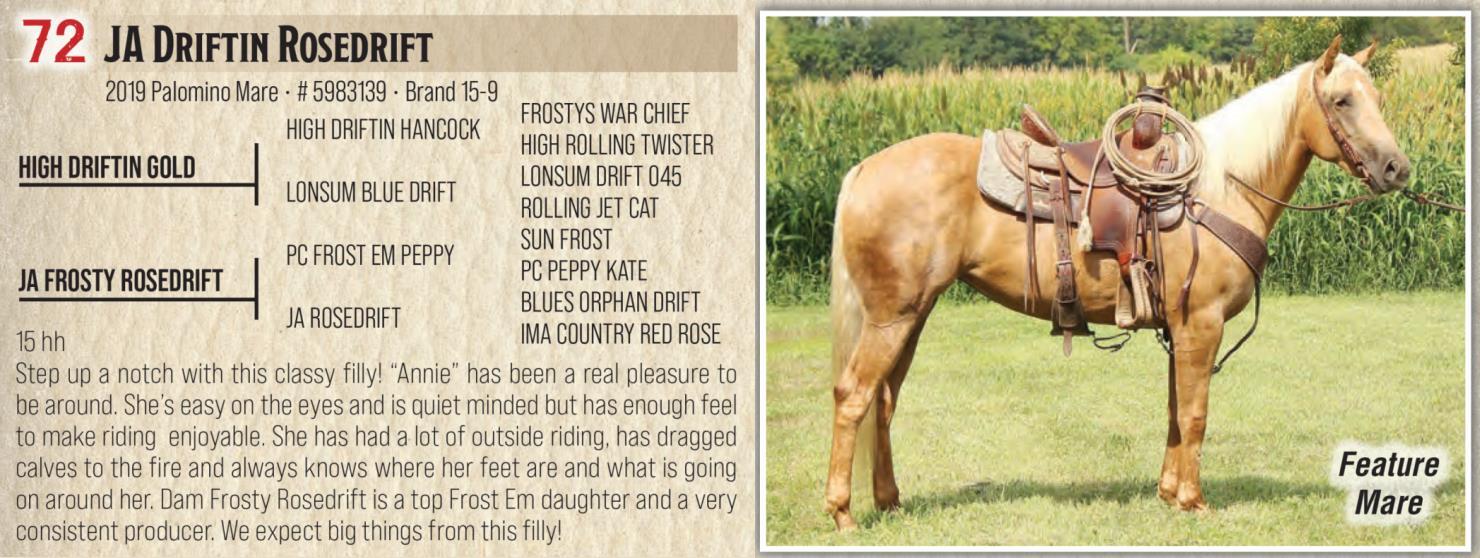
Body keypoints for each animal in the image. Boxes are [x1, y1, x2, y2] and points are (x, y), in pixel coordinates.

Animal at [823, 36, 1410, 530]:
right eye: (1341, 101)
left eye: (1377, 97)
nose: (1396, 168)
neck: (1218, 190)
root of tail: (863, 170)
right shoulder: (1201, 325)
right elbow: (1195, 413)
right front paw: (1194, 501)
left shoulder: (1180, 330)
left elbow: (1175, 411)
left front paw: (1169, 493)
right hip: (892, 317)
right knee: (854, 396)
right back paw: (843, 512)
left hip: (912, 315)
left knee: (884, 401)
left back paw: (889, 502)